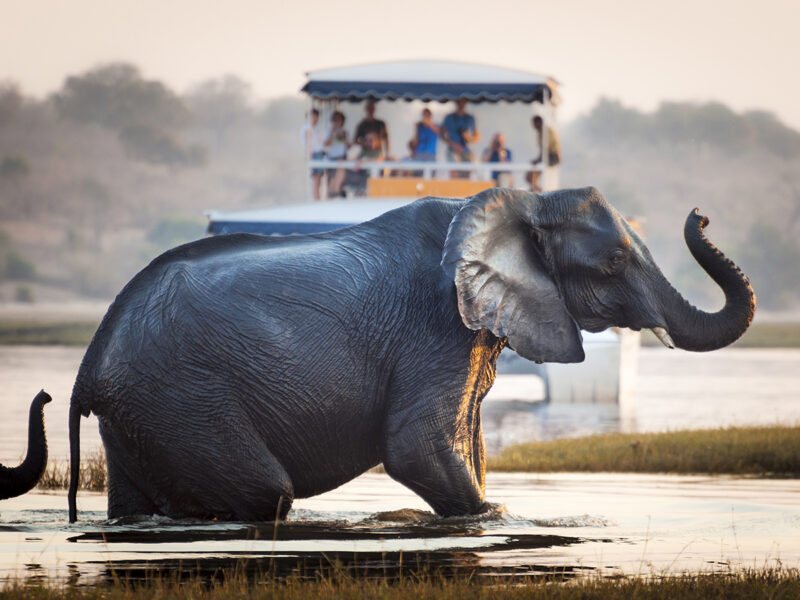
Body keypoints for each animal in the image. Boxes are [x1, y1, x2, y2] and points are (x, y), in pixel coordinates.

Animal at [67, 187, 755, 522]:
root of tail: (89, 367)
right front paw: (494, 518)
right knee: (265, 492)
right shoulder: (435, 326)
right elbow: (416, 446)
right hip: (183, 397)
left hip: (145, 414)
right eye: (612, 261)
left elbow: (467, 446)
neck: (516, 204)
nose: (701, 214)